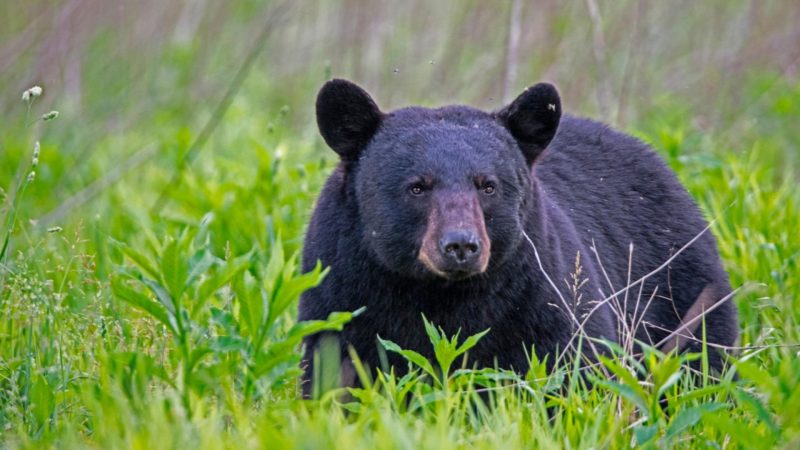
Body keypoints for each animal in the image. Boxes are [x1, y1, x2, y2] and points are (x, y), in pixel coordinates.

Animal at [298, 79, 736, 396]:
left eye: (487, 185)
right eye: (417, 187)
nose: (460, 245)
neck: (440, 295)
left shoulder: (540, 298)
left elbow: (574, 370)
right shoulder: (343, 291)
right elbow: (335, 372)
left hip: (683, 297)